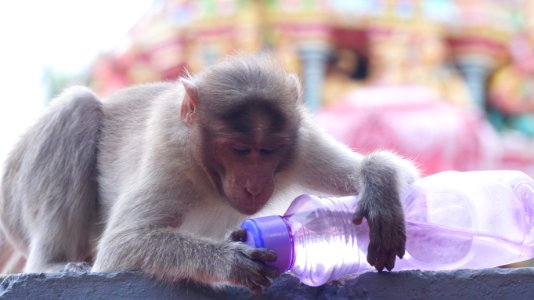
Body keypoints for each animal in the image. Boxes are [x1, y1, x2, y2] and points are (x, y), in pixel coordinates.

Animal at [0, 54, 418, 292]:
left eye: (267, 150)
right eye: (239, 150)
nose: (255, 184)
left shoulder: (298, 142)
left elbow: (404, 178)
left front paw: (379, 187)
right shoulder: (170, 156)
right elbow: (121, 246)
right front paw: (229, 260)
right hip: (14, 202)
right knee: (78, 107)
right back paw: (51, 264)